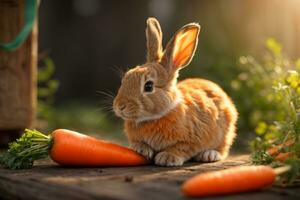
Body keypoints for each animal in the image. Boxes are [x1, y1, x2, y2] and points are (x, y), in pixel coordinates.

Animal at [112, 18, 237, 166]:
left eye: (148, 86)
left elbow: (181, 147)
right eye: (125, 79)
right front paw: (140, 149)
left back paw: (209, 155)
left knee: (223, 148)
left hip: (225, 132)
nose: (120, 106)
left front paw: (167, 158)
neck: (157, 116)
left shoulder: (192, 140)